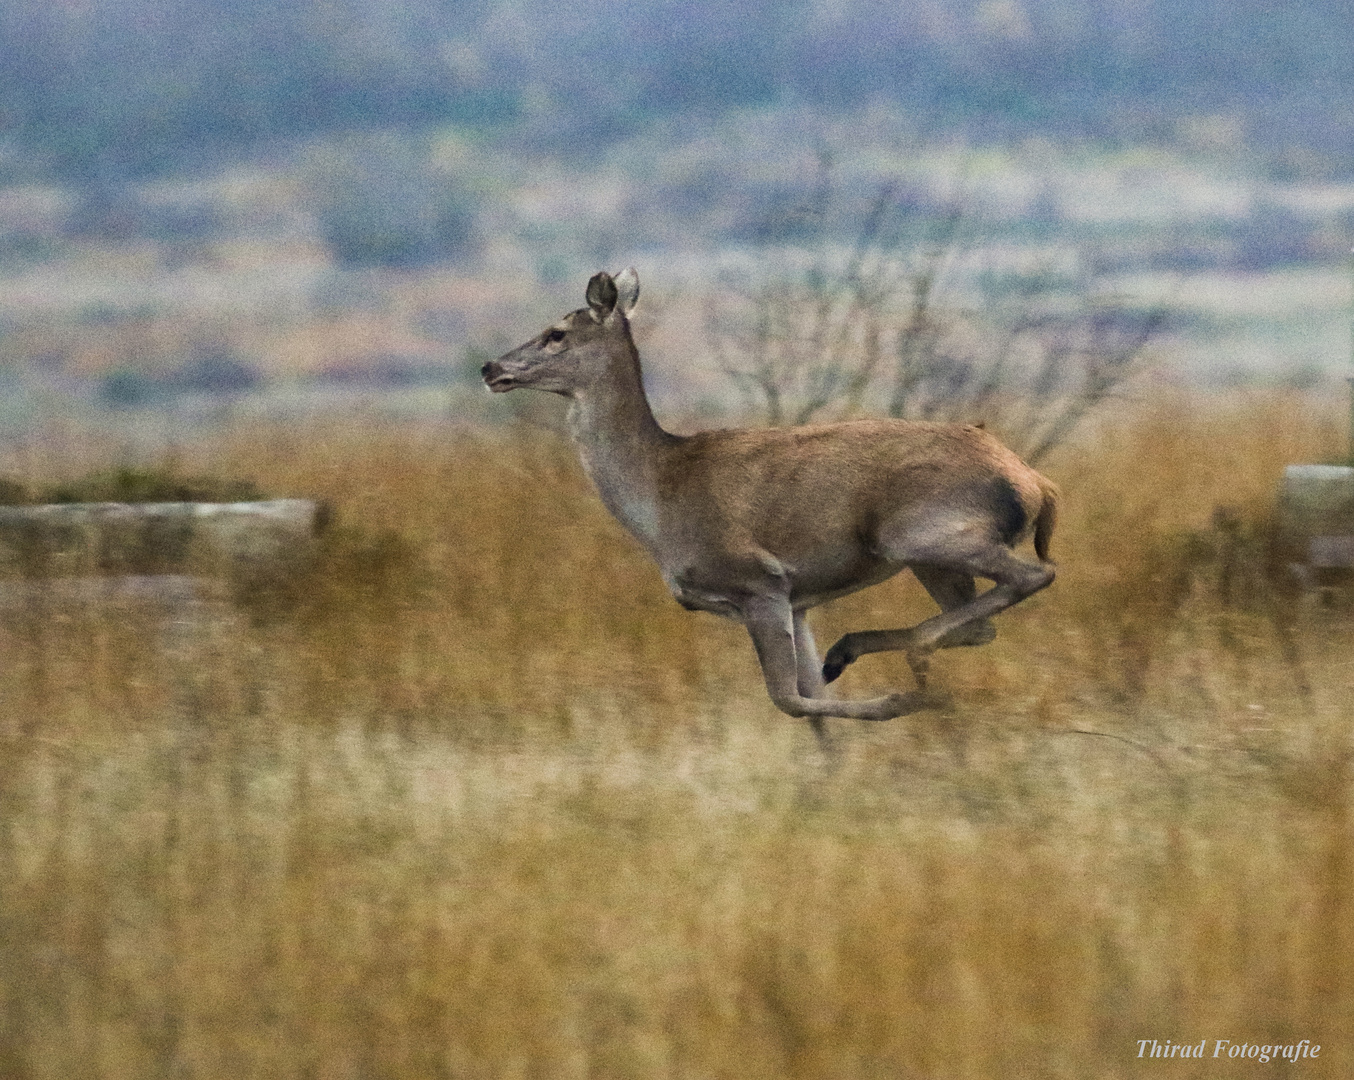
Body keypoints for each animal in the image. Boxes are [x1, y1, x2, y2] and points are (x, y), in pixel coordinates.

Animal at [482, 270, 1061, 747]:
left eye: (557, 332)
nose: (490, 367)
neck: (661, 501)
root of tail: (1037, 483)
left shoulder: (758, 580)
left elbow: (788, 700)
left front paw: (898, 702)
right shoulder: (796, 599)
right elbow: (813, 704)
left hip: (922, 533)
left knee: (1035, 575)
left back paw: (900, 664)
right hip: (928, 555)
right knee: (979, 624)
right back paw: (855, 655)